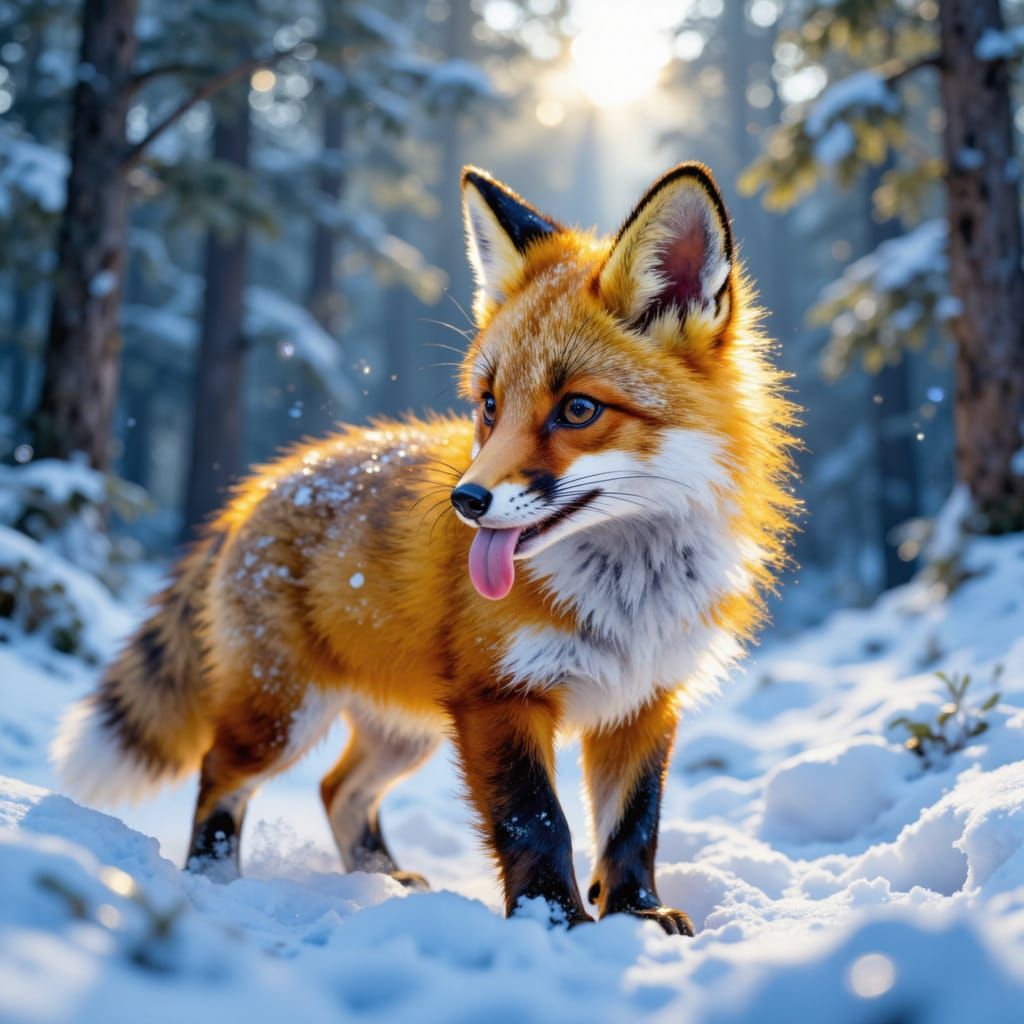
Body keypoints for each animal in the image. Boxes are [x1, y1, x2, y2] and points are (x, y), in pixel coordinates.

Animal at [53, 162, 797, 935]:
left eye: (578, 409)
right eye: (490, 404)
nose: (466, 501)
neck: (627, 595)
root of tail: (263, 483)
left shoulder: (644, 702)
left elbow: (632, 825)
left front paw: (636, 914)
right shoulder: (498, 696)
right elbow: (538, 822)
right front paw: (554, 921)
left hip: (402, 730)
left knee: (337, 788)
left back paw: (381, 880)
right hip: (283, 716)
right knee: (219, 774)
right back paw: (216, 881)